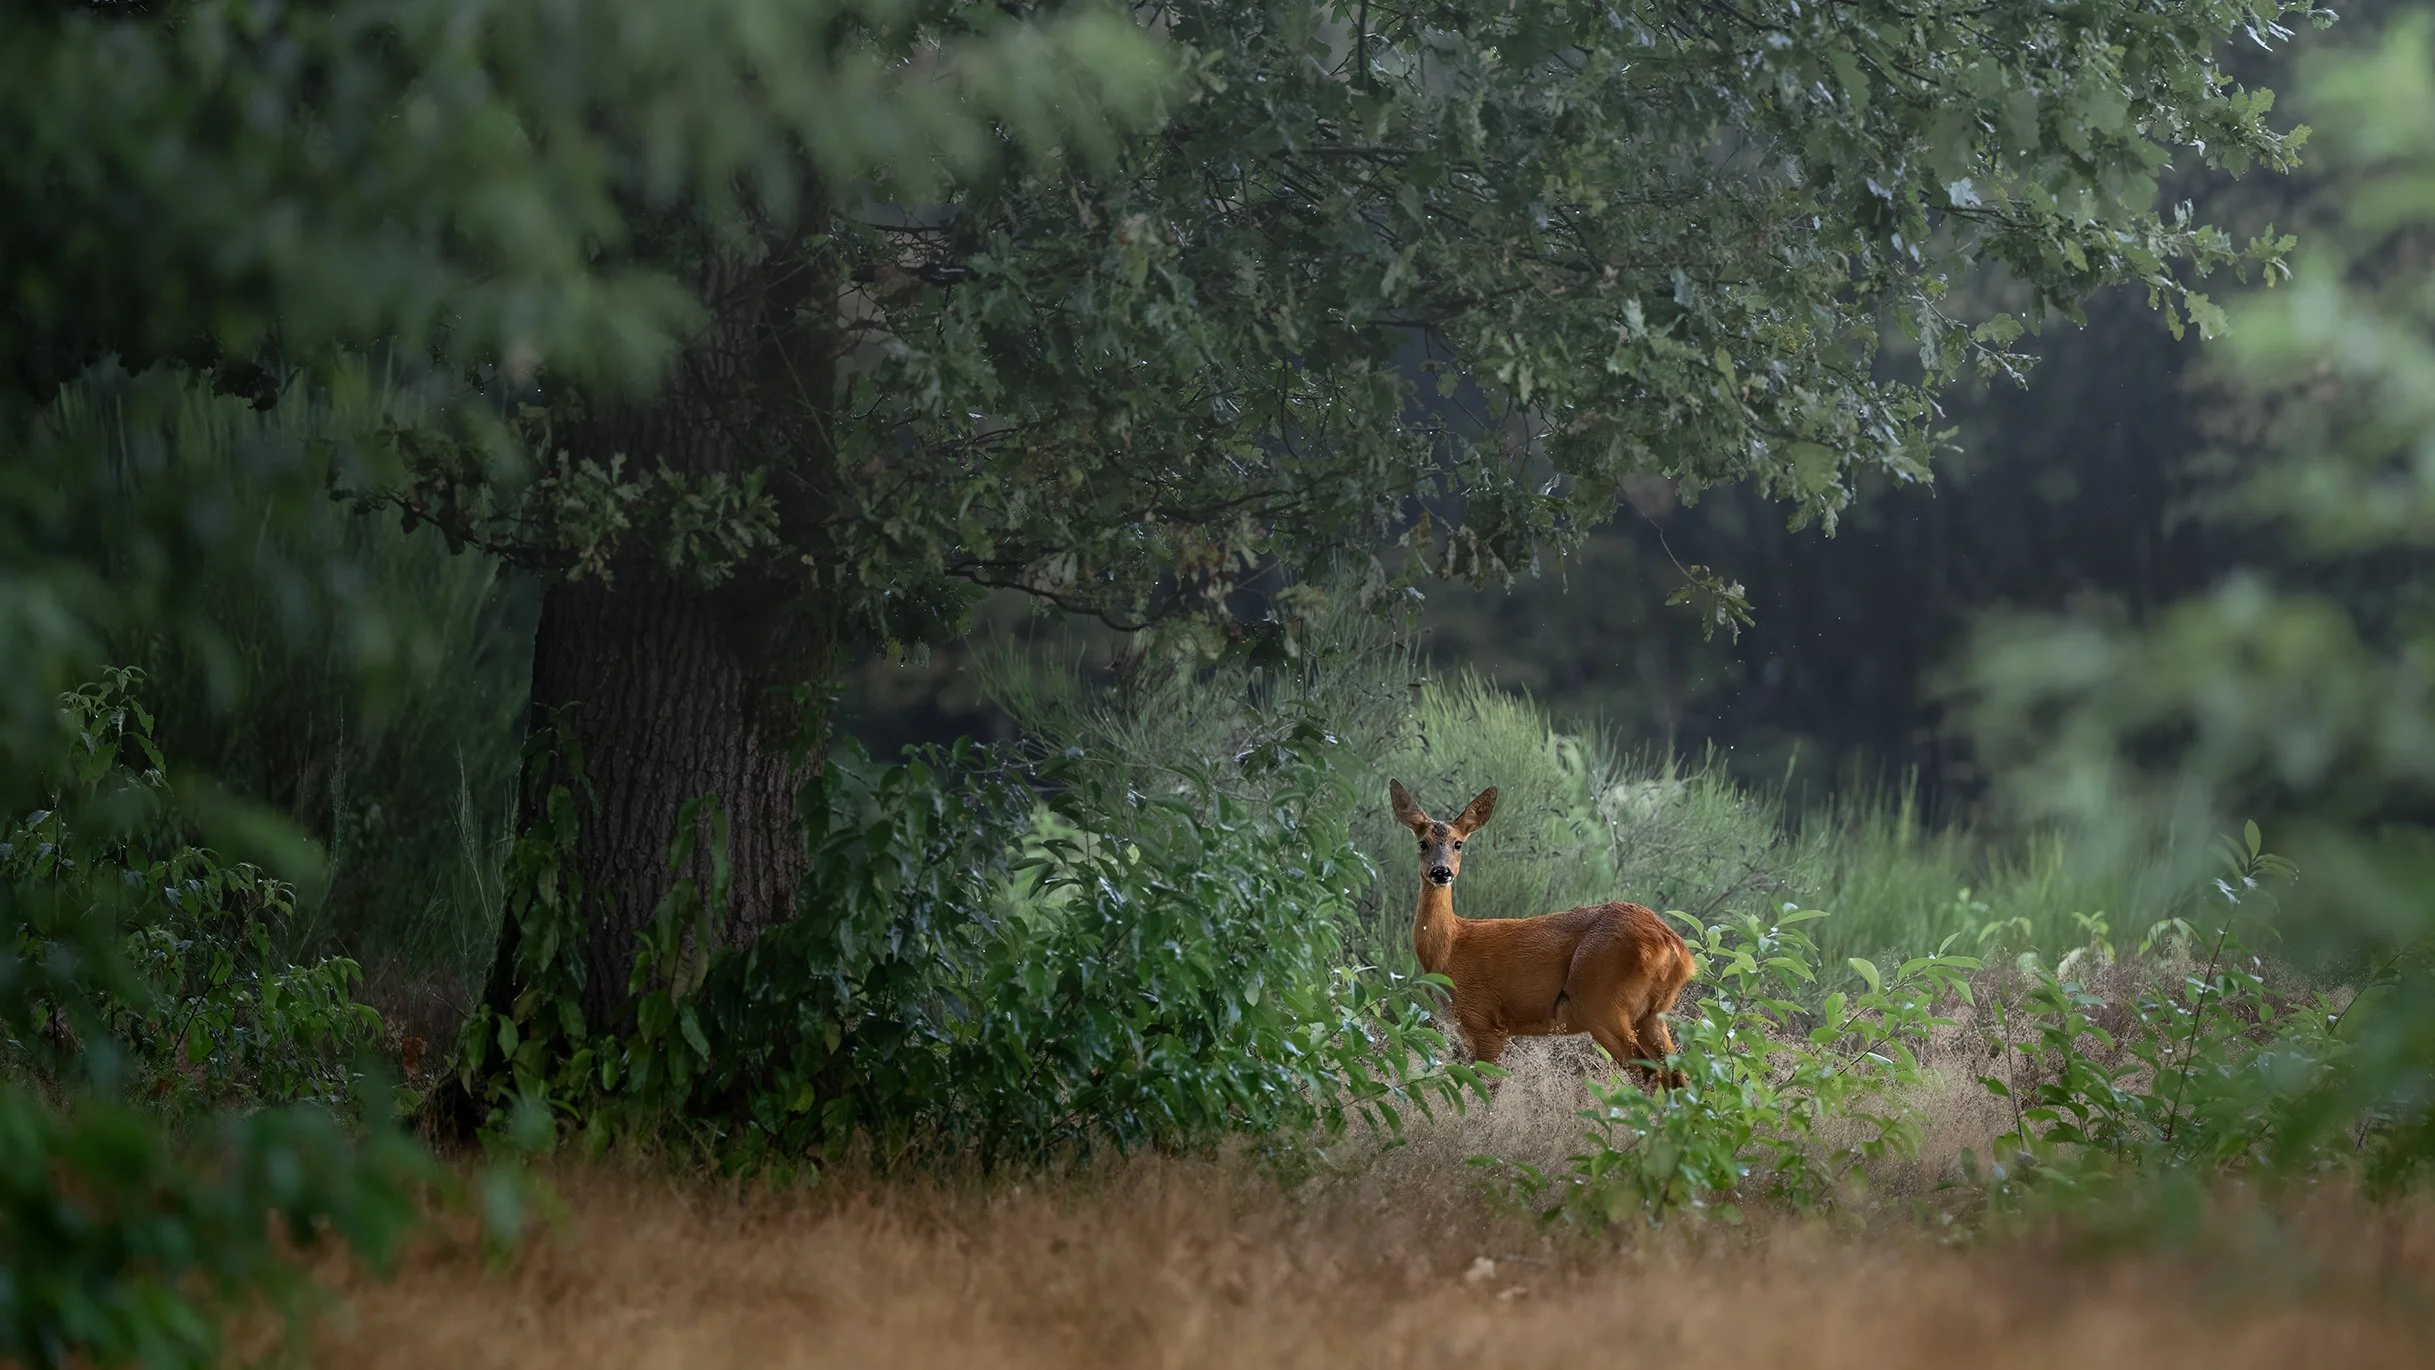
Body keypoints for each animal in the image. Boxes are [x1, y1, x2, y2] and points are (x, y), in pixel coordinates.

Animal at [1390, 780, 1695, 1089]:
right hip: (1652, 1014)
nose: (1441, 872)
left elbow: (1483, 1086)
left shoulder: (1484, 1020)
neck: (1448, 947)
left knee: (1647, 1072)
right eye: (1422, 843)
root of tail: (1674, 947)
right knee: (1675, 1073)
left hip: (1601, 1002)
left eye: (1458, 843)